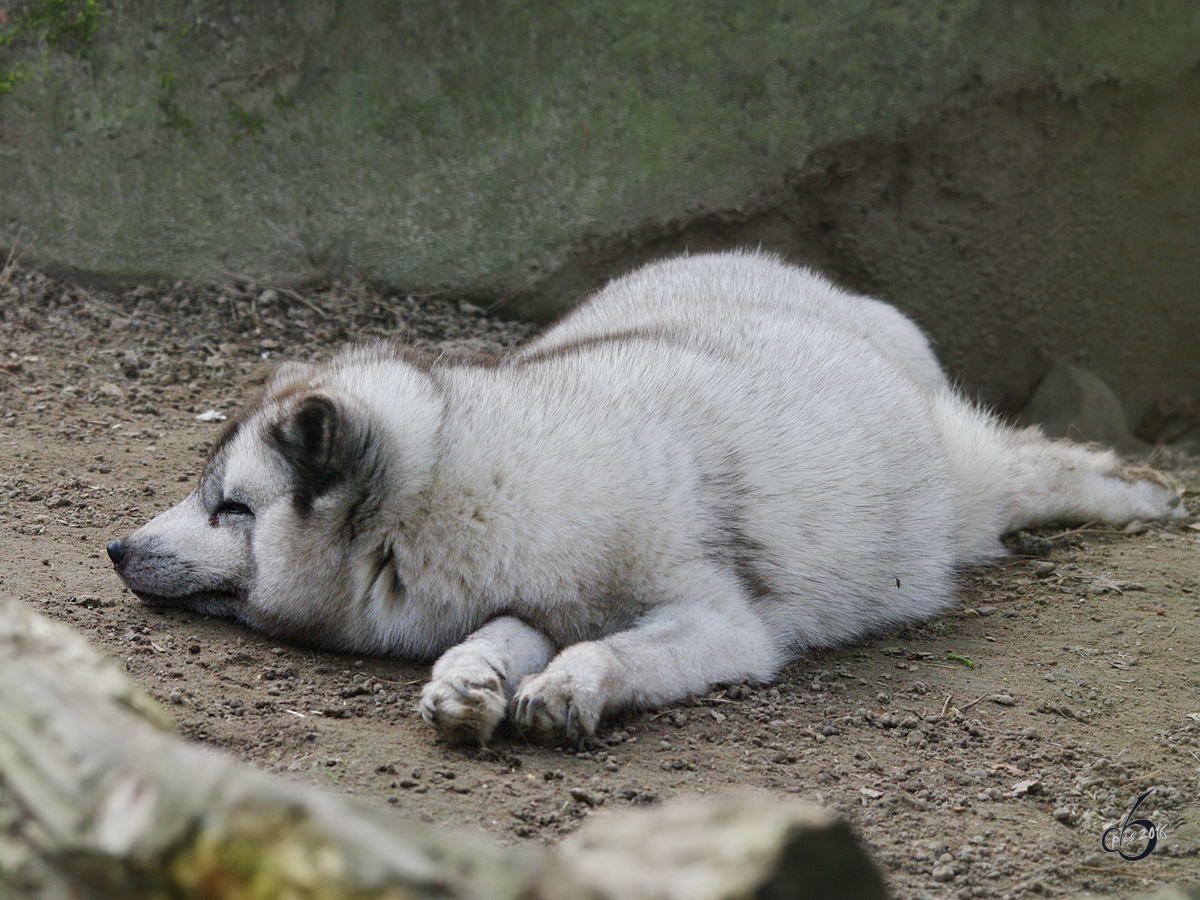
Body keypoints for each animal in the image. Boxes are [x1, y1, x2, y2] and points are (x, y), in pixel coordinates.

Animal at [108, 254, 1185, 748]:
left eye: (233, 510)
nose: (115, 548)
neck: (474, 491)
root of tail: (829, 290)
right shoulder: (530, 601)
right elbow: (496, 640)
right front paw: (469, 684)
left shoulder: (723, 621)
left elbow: (615, 650)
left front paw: (567, 691)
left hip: (965, 489)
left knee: (1035, 465)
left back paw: (1143, 497)